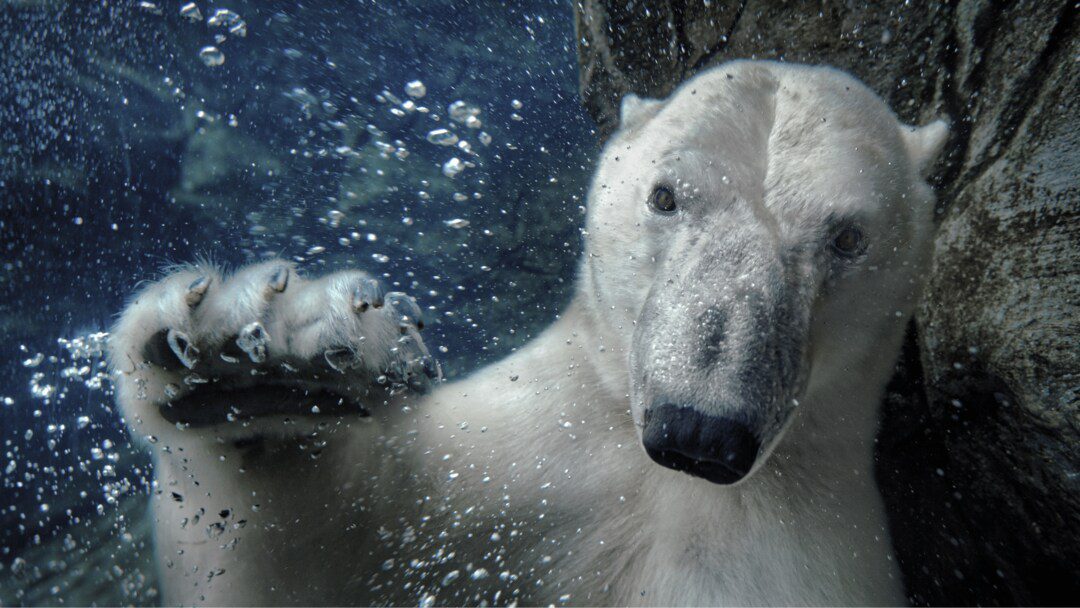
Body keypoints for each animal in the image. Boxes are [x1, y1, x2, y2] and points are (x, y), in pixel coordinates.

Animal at [107, 60, 946, 604]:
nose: (697, 433)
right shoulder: (519, 459)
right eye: (665, 196)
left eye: (848, 237)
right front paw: (262, 355)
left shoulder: (801, 550)